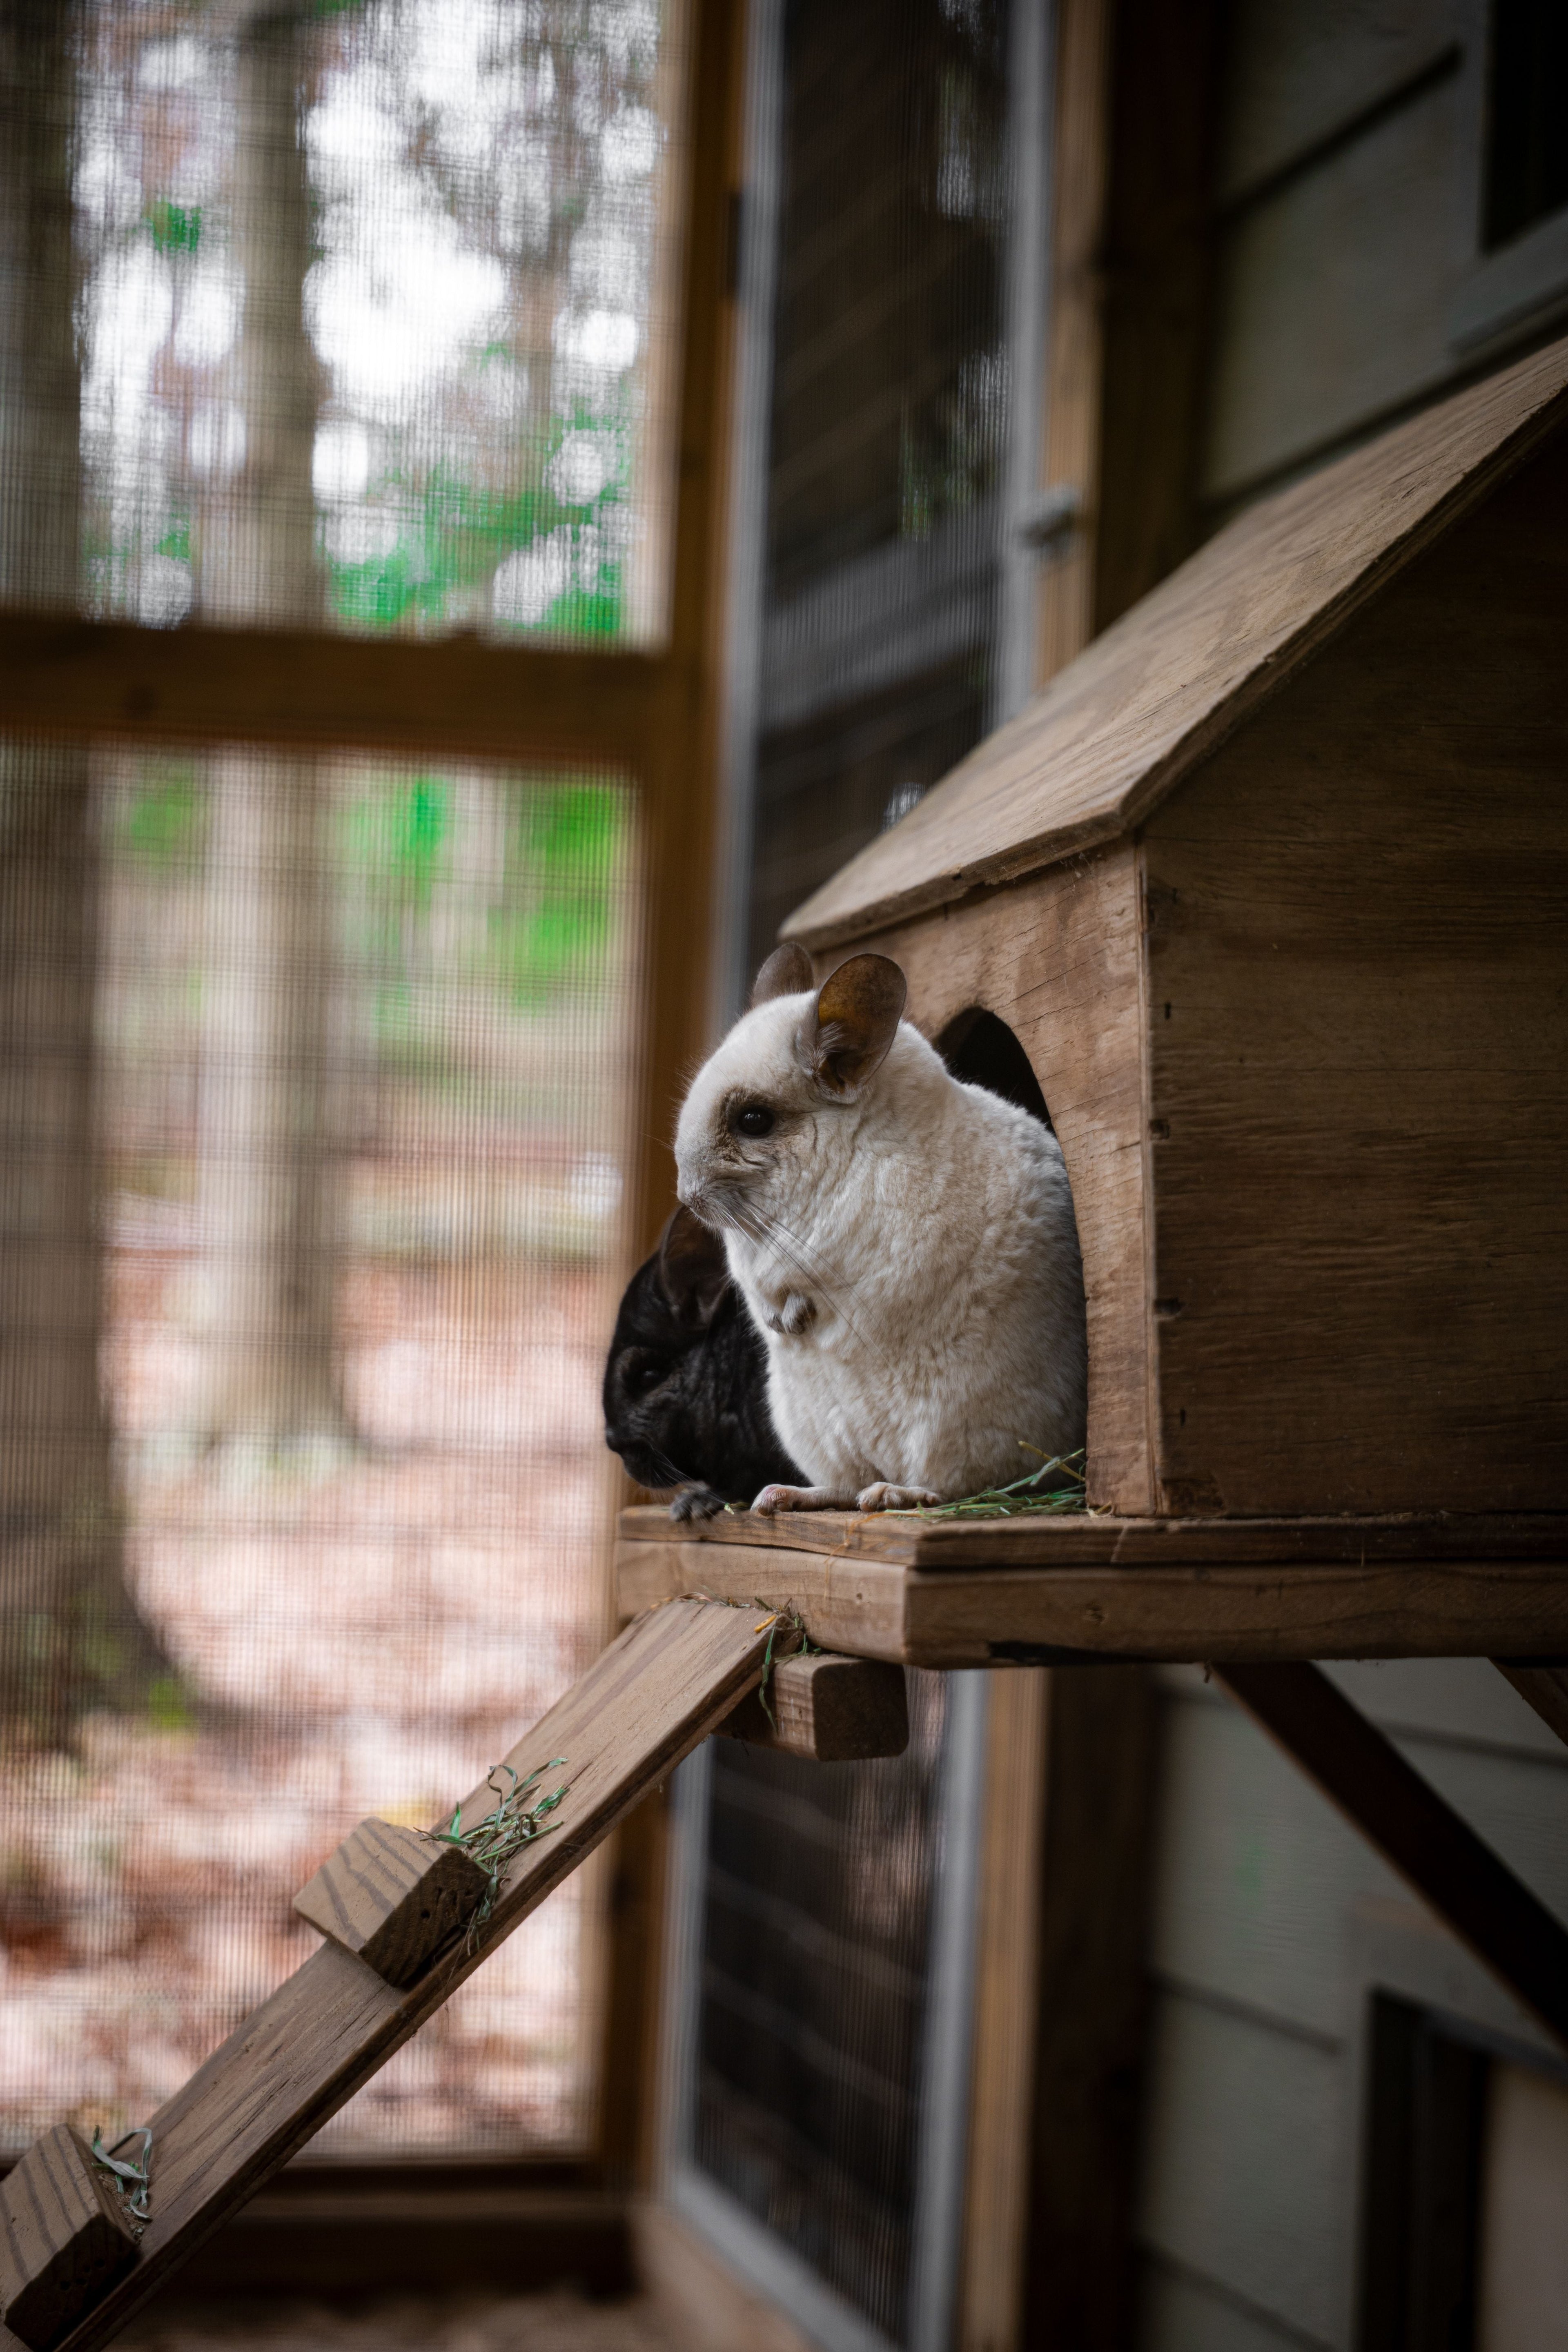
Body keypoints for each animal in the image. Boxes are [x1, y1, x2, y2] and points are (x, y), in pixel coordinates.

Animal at [673, 943, 1086, 1514]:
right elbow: (763, 1298)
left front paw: (797, 1316)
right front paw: (782, 1323)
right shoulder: (753, 1272)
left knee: (956, 1486)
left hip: (959, 1432)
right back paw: (784, 1496)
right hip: (812, 1428)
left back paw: (894, 1493)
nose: (685, 1195)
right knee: (847, 1488)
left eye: (754, 1120)